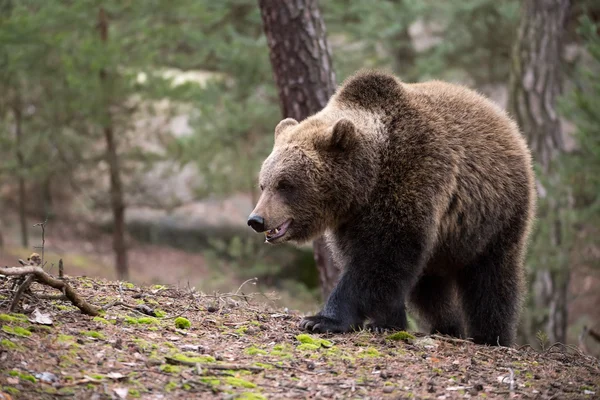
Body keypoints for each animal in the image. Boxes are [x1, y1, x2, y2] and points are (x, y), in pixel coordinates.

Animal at [246, 69, 536, 346]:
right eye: (264, 184)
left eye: (285, 184)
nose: (256, 220)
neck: (368, 181)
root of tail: (505, 120)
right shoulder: (351, 220)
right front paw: (386, 321)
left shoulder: (411, 181)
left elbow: (378, 260)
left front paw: (321, 320)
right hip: (447, 240)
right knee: (430, 286)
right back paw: (447, 326)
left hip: (495, 214)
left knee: (491, 277)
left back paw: (491, 336)